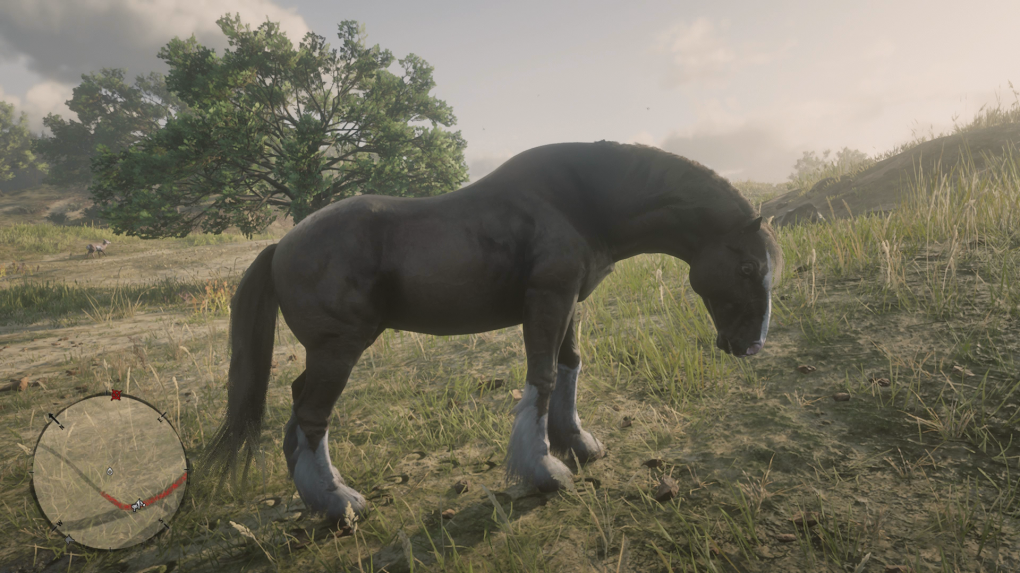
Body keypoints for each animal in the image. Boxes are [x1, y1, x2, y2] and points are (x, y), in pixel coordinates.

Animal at [204, 140, 784, 524]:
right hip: (338, 351)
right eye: (748, 268)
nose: (750, 345)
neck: (579, 201)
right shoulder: (547, 300)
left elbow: (569, 367)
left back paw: (321, 501)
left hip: (326, 355)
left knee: (297, 417)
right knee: (311, 417)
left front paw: (577, 444)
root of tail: (281, 246)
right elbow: (542, 378)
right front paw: (544, 470)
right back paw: (341, 503)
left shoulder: (570, 303)